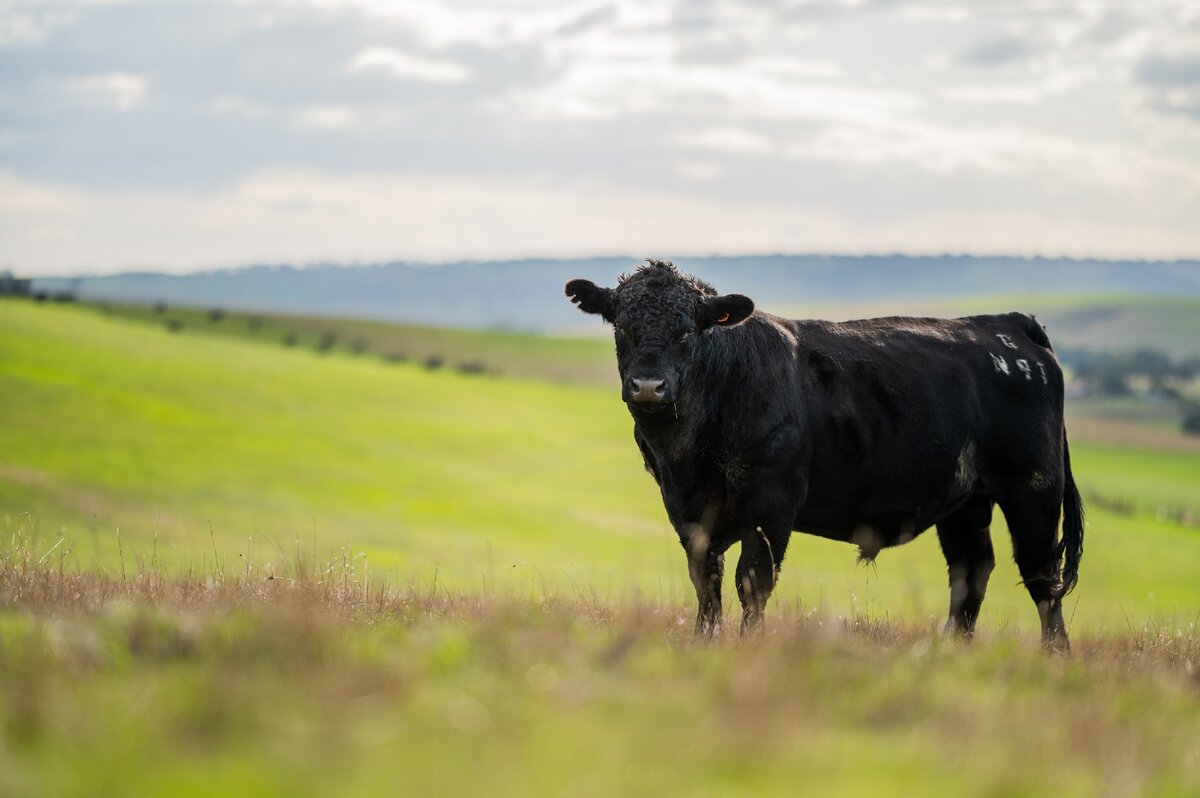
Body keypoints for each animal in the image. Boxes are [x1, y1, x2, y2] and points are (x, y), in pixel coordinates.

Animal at [566, 261, 1084, 648]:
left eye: (687, 332)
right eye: (622, 327)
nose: (648, 386)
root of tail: (1006, 322)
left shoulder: (771, 503)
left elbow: (752, 581)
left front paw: (747, 648)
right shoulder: (687, 509)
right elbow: (705, 581)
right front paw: (704, 641)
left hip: (1033, 489)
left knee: (1041, 576)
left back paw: (1055, 657)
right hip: (966, 502)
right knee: (970, 571)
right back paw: (951, 650)